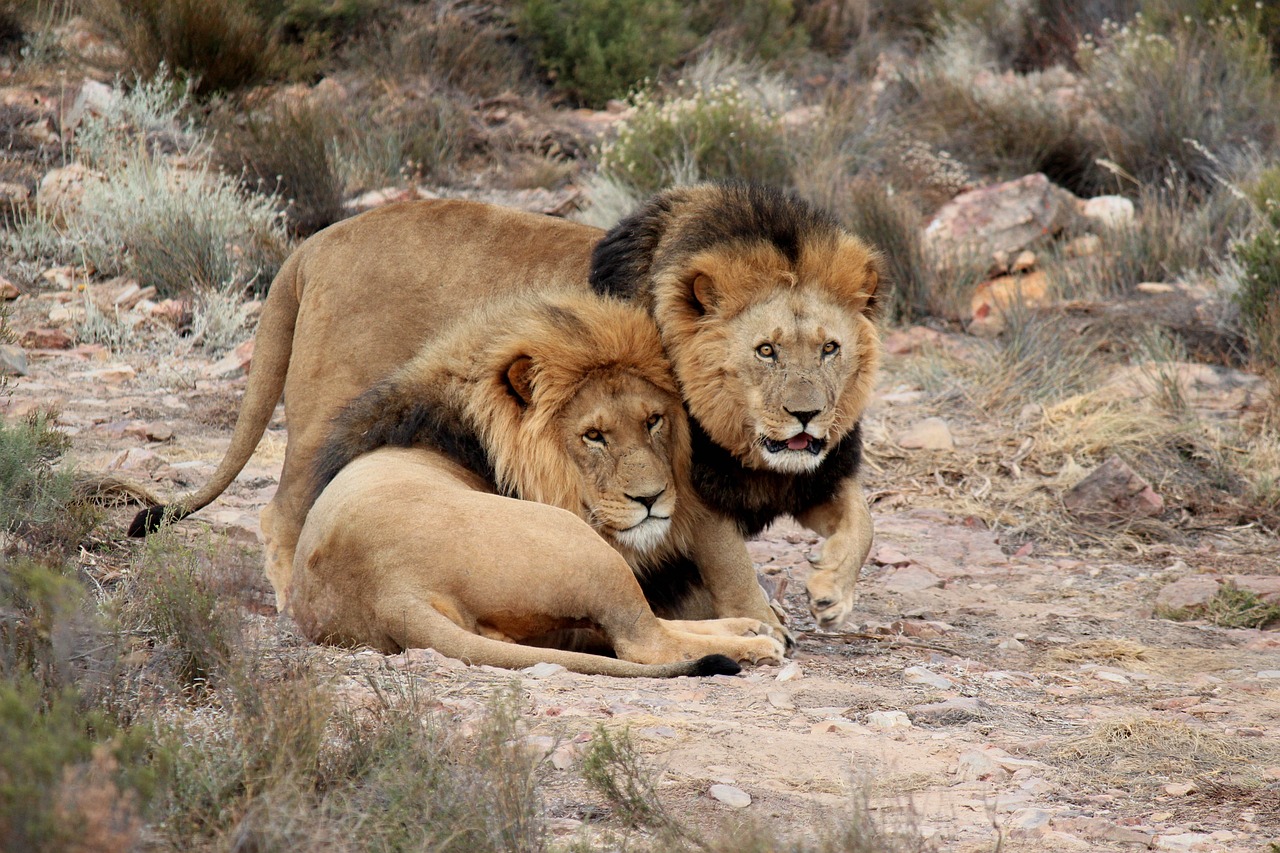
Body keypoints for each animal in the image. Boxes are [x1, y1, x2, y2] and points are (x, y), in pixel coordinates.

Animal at [132, 180, 880, 630]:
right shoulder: (685, 483)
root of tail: (314, 244)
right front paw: (764, 620)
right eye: (766, 350)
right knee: (281, 512)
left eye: (831, 348)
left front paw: (830, 592)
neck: (741, 439)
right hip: (328, 412)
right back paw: (291, 601)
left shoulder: (800, 474)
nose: (808, 416)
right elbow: (729, 559)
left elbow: (862, 517)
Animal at [290, 292, 783, 671]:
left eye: (653, 421)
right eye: (593, 436)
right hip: (583, 547)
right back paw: (755, 644)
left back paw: (750, 627)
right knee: (644, 641)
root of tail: (390, 591)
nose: (651, 498)